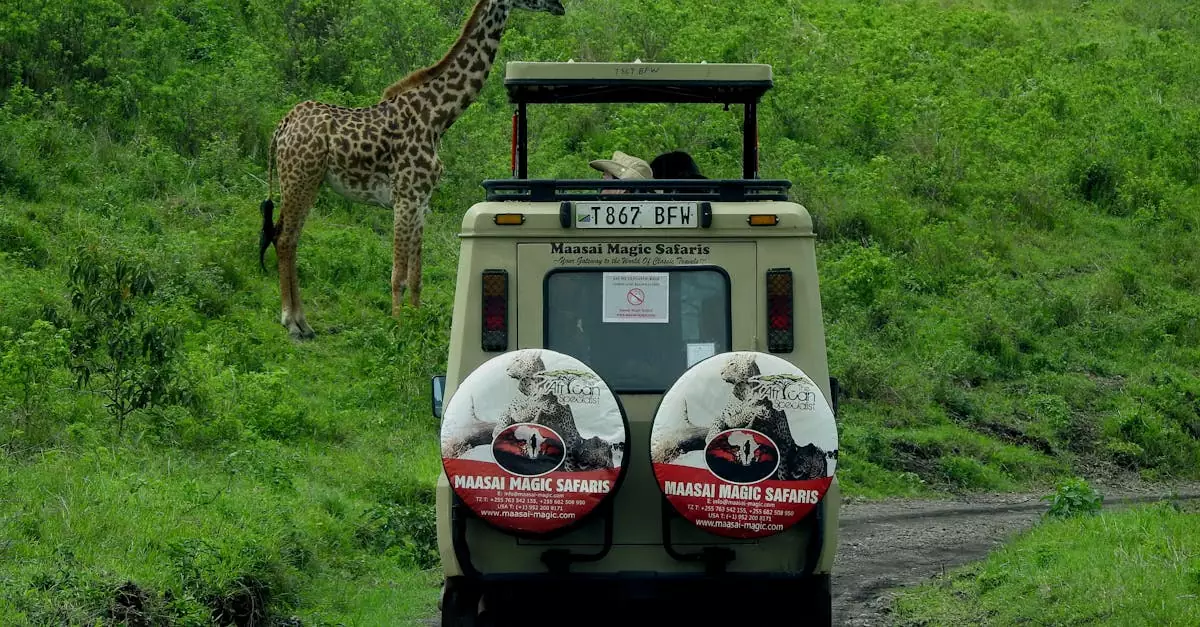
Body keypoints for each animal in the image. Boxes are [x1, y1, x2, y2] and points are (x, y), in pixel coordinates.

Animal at [258, 0, 567, 339]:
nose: (560, 6)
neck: (438, 116)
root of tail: (281, 127)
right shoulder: (404, 197)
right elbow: (398, 274)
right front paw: (395, 326)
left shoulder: (422, 200)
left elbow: (417, 275)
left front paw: (416, 323)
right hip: (300, 179)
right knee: (285, 239)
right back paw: (292, 322)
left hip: (305, 182)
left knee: (287, 238)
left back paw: (303, 322)